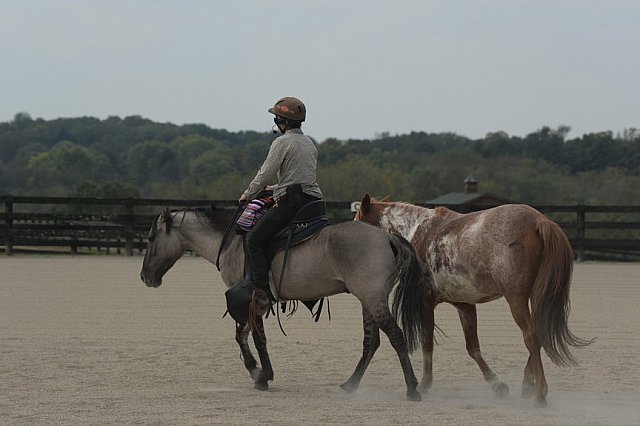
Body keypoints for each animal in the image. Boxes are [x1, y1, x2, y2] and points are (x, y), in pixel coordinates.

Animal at [138, 205, 432, 402]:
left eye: (151, 238)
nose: (144, 277)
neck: (233, 242)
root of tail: (386, 237)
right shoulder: (253, 303)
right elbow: (243, 335)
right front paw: (255, 370)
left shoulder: (252, 299)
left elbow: (256, 338)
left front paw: (262, 375)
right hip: (367, 300)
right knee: (371, 342)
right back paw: (350, 384)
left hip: (372, 297)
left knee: (395, 336)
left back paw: (411, 388)